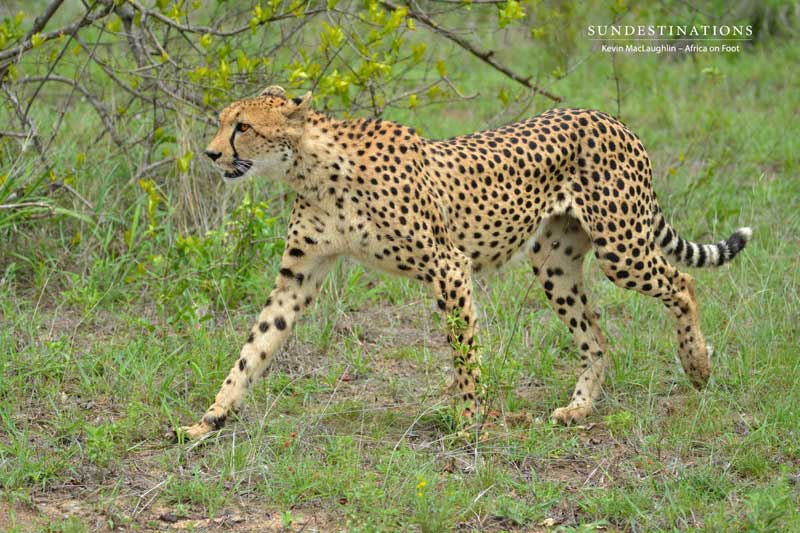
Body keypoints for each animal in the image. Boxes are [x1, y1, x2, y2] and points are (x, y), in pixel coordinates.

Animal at [180, 85, 751, 440]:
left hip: (622, 247)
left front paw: (467, 421)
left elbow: (464, 351)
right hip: (553, 261)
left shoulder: (448, 265)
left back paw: (697, 365)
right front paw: (207, 421)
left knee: (682, 282)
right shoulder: (298, 278)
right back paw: (580, 407)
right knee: (597, 336)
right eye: (223, 124)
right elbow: (252, 350)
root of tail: (607, 116)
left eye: (242, 127)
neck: (311, 167)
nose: (210, 154)